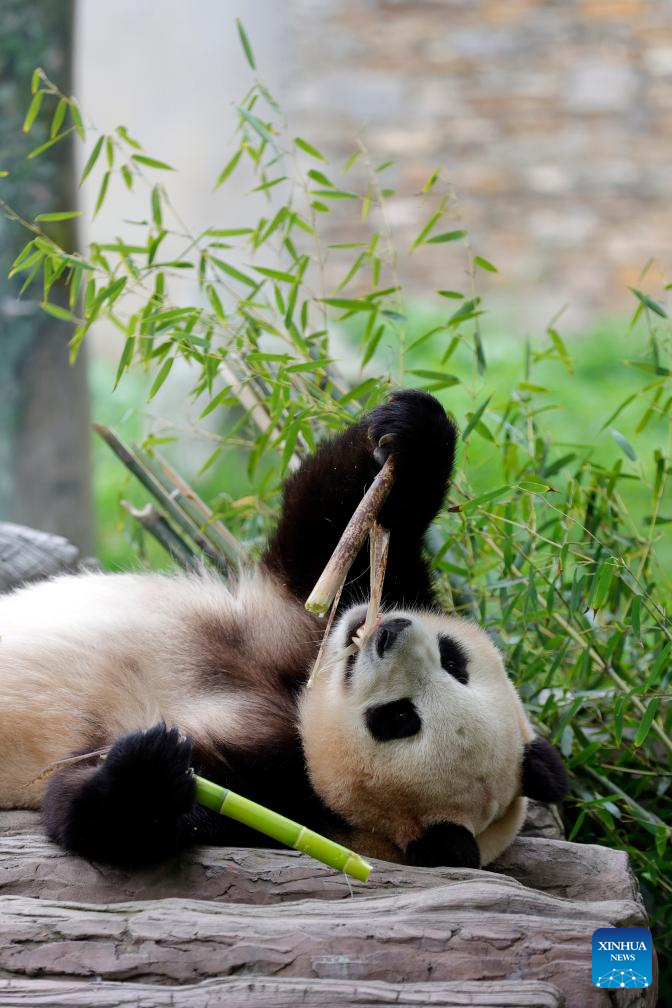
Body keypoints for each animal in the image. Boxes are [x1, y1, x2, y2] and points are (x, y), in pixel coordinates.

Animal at [0, 389, 568, 870]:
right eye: (455, 660)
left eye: (400, 718)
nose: (389, 631)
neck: (296, 699)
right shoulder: (305, 618)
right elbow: (332, 531)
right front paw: (412, 434)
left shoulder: (281, 796)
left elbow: (102, 816)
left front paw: (150, 769)